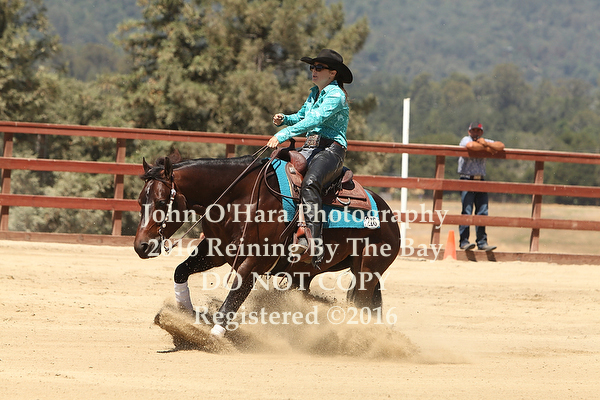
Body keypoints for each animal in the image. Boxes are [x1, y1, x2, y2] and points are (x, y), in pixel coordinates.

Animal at [133, 149, 401, 337]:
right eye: (139, 201)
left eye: (160, 201)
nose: (141, 246)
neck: (237, 198)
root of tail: (387, 213)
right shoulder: (214, 251)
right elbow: (181, 271)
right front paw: (186, 315)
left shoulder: (254, 262)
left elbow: (233, 298)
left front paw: (213, 335)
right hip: (303, 275)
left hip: (367, 271)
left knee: (361, 305)